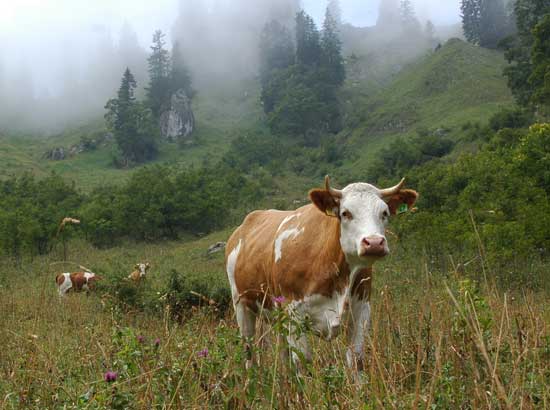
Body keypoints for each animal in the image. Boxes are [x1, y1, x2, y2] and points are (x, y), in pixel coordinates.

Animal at [224, 175, 418, 372]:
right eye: (345, 213)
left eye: (384, 213)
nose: (374, 243)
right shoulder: (293, 313)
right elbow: (302, 363)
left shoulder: (361, 310)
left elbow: (356, 360)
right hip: (241, 304)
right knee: (249, 350)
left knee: (282, 353)